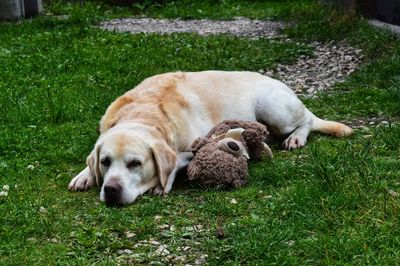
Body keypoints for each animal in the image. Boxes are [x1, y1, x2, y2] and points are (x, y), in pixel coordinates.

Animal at [69, 69, 354, 205]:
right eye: (105, 162)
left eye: (135, 163)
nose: (111, 190)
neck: (143, 113)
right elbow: (89, 160)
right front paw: (85, 175)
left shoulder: (196, 144)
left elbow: (176, 161)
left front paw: (162, 184)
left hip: (273, 108)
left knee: (307, 121)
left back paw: (296, 137)